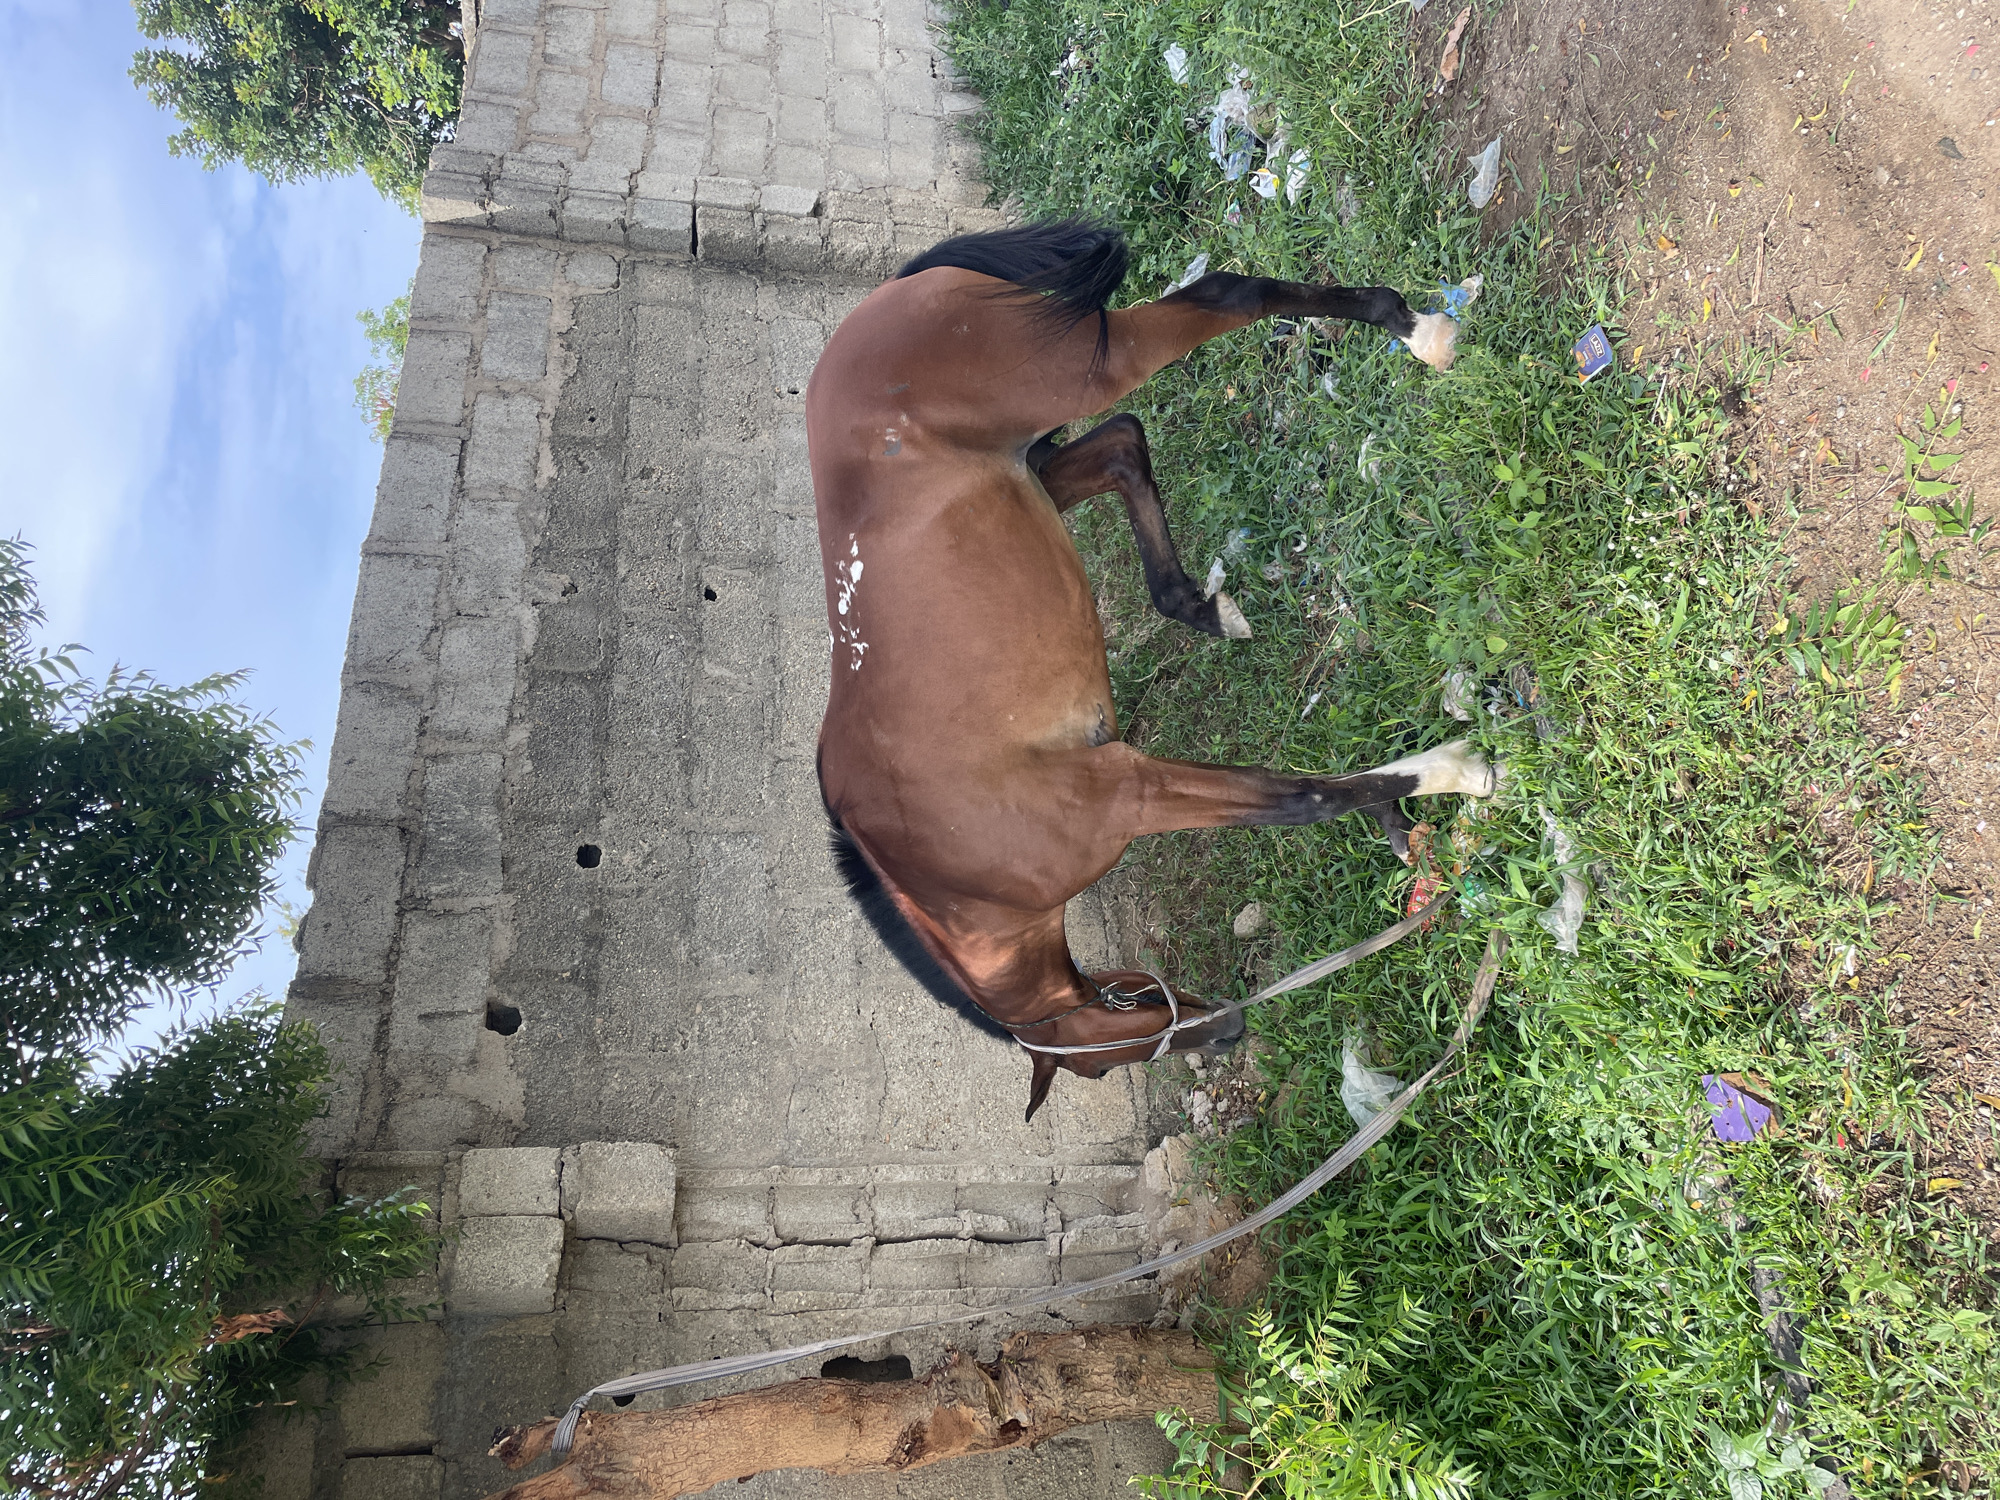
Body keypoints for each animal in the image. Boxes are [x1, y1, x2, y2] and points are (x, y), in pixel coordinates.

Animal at [807, 220, 1492, 1122]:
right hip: (1034, 475)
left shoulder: (1127, 792)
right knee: (1121, 444)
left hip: (1083, 371)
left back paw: (1419, 333)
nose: (1230, 1031)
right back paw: (1201, 605)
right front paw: (1404, 819)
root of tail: (886, 303)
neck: (954, 883)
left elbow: (1297, 801)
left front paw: (1456, 771)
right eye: (1113, 1047)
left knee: (1223, 300)